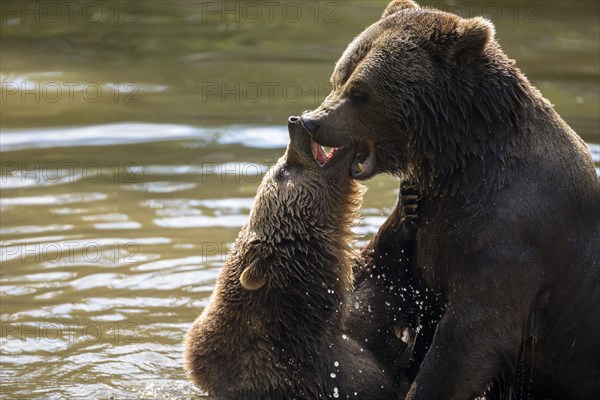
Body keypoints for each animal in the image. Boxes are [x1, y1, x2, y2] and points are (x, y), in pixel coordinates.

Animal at [300, 1, 600, 398]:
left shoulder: (514, 235)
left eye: (360, 91)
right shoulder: (436, 222)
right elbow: (381, 282)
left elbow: (468, 338)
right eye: (340, 76)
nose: (311, 121)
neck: (461, 163)